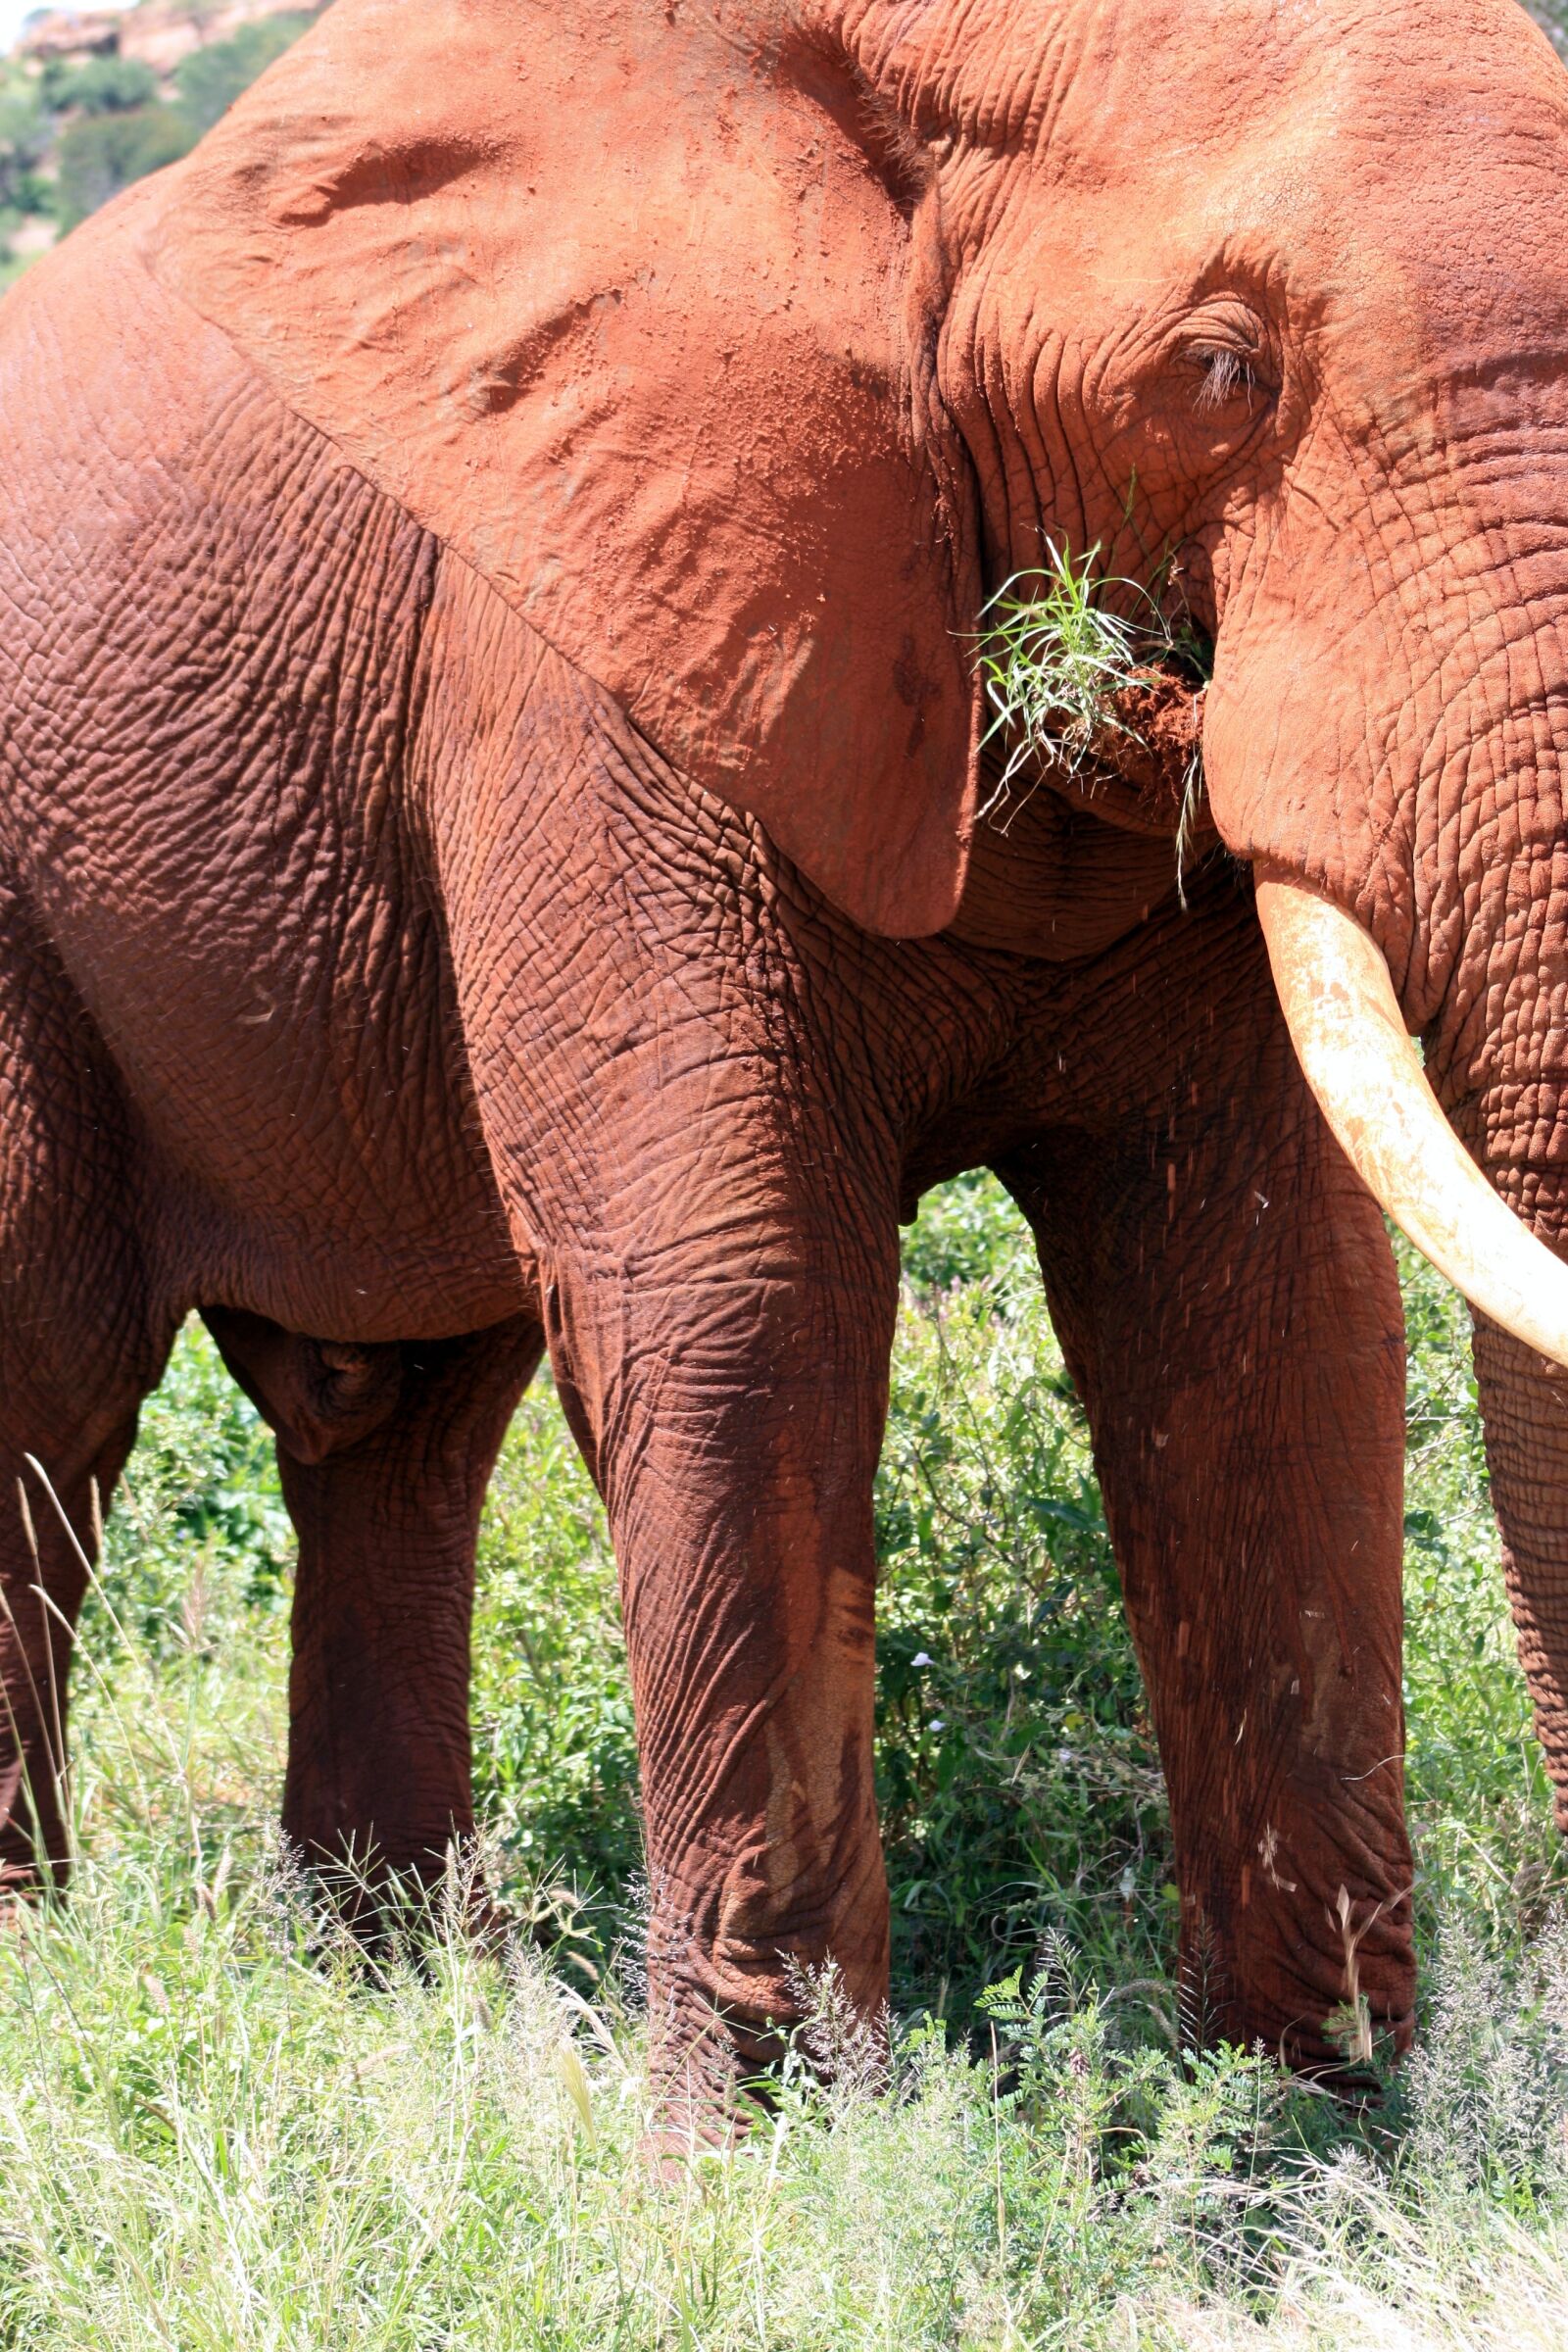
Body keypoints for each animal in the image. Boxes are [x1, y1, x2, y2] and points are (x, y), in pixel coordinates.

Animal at [4, 0, 1568, 2124]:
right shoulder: (592, 642)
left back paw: (399, 2009)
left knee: (395, 1435)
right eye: (1220, 370)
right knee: (50, 1386)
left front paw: (1304, 2149)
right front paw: (780, 2164)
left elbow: (1258, 1312)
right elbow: (743, 1303)